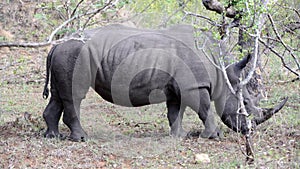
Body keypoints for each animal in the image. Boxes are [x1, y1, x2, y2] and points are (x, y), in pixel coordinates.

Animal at [41, 24, 286, 142]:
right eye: (245, 104)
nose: (248, 130)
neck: (222, 71)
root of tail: (56, 45)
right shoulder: (194, 86)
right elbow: (205, 109)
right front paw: (214, 136)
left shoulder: (179, 87)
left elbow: (175, 112)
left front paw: (179, 136)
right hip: (75, 53)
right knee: (74, 94)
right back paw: (81, 139)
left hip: (66, 54)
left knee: (59, 94)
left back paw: (53, 136)